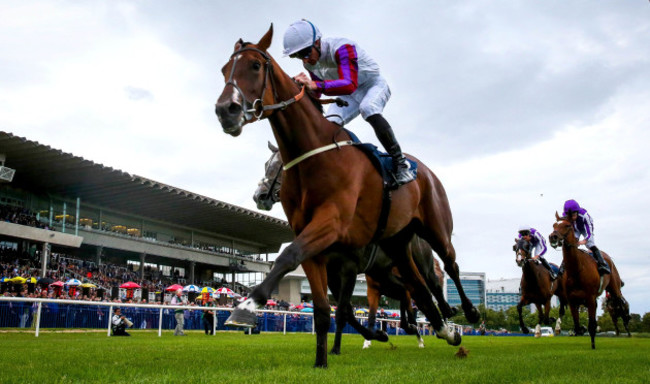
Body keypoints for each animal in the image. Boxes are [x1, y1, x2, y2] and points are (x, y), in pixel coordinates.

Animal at [253, 143, 450, 352]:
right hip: (383, 274)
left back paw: (442, 318)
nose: (259, 196)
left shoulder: (350, 268)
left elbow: (342, 312)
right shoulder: (332, 273)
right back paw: (411, 326)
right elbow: (346, 311)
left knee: (430, 286)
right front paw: (373, 335)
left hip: (420, 265)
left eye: (280, 166)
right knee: (404, 290)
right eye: (266, 164)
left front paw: (338, 347)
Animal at [548, 212, 624, 350]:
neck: (576, 269)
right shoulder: (572, 300)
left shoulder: (590, 297)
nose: (553, 237)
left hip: (614, 287)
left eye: (567, 225)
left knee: (619, 300)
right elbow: (577, 325)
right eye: (554, 225)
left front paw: (593, 345)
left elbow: (591, 325)